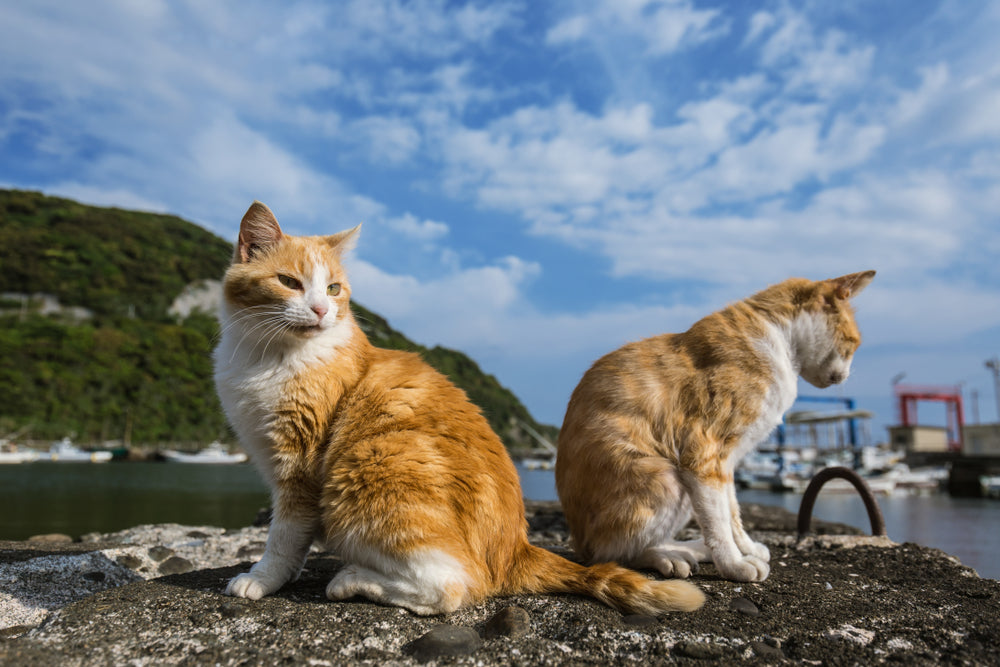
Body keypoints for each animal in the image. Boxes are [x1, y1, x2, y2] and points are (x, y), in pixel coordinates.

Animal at [215, 202, 708, 616]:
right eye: (289, 282)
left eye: (334, 289)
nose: (320, 310)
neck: (271, 358)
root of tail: (517, 549)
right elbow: (293, 537)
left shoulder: (299, 468)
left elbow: (283, 535)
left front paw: (262, 578)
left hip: (374, 464)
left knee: (454, 586)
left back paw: (355, 580)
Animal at [556, 272, 876, 584]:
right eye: (852, 344)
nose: (844, 376)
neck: (781, 346)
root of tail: (578, 542)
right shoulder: (703, 451)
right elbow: (718, 521)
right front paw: (734, 565)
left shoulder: (727, 460)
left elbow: (732, 511)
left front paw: (746, 548)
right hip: (664, 478)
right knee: (614, 553)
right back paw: (670, 558)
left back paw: (692, 548)